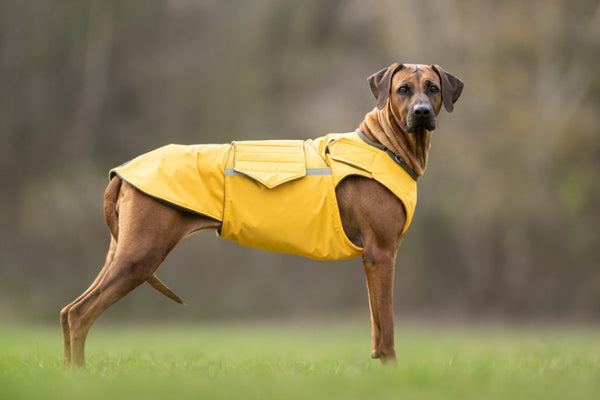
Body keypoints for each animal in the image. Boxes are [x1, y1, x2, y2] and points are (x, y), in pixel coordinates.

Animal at [59, 62, 464, 366]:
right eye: (403, 90)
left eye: (432, 88)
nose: (421, 113)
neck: (384, 144)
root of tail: (121, 173)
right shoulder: (381, 254)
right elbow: (389, 329)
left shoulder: (375, 259)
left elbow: (377, 329)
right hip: (140, 256)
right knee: (80, 314)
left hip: (121, 251)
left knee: (68, 312)